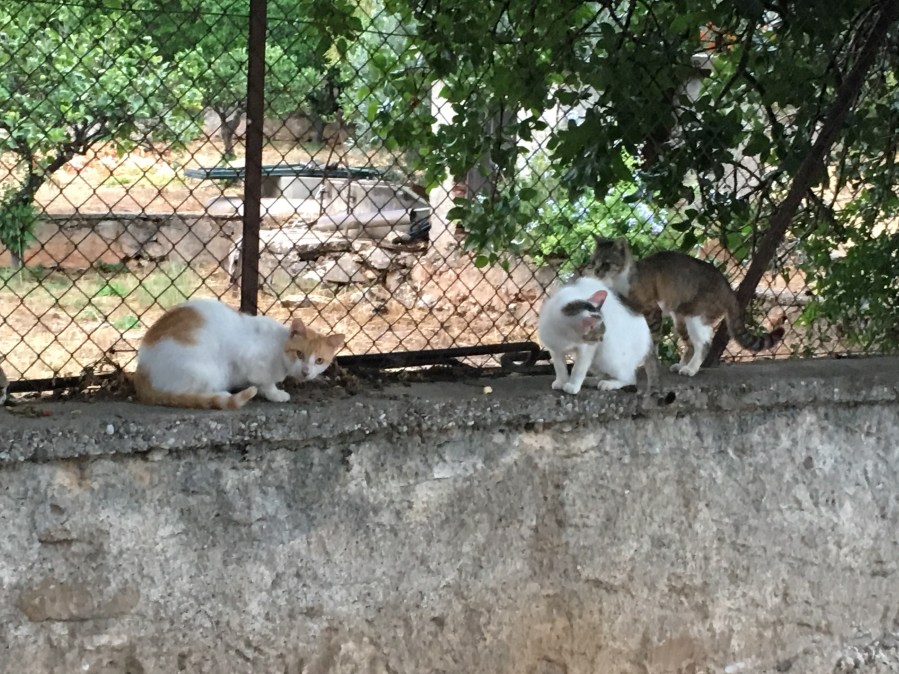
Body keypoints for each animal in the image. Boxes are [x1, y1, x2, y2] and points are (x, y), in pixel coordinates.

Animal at [134, 298, 344, 410]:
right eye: (299, 354)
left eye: (319, 360)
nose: (306, 371)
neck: (279, 348)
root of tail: (142, 370)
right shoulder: (249, 359)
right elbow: (265, 382)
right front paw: (274, 393)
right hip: (206, 371)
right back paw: (221, 395)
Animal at [587, 237, 784, 376]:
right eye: (594, 262)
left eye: (606, 264)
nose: (596, 271)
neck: (620, 281)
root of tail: (728, 288)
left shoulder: (653, 311)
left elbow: (653, 340)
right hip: (680, 319)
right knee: (690, 344)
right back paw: (682, 365)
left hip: (695, 316)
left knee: (703, 344)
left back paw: (690, 369)